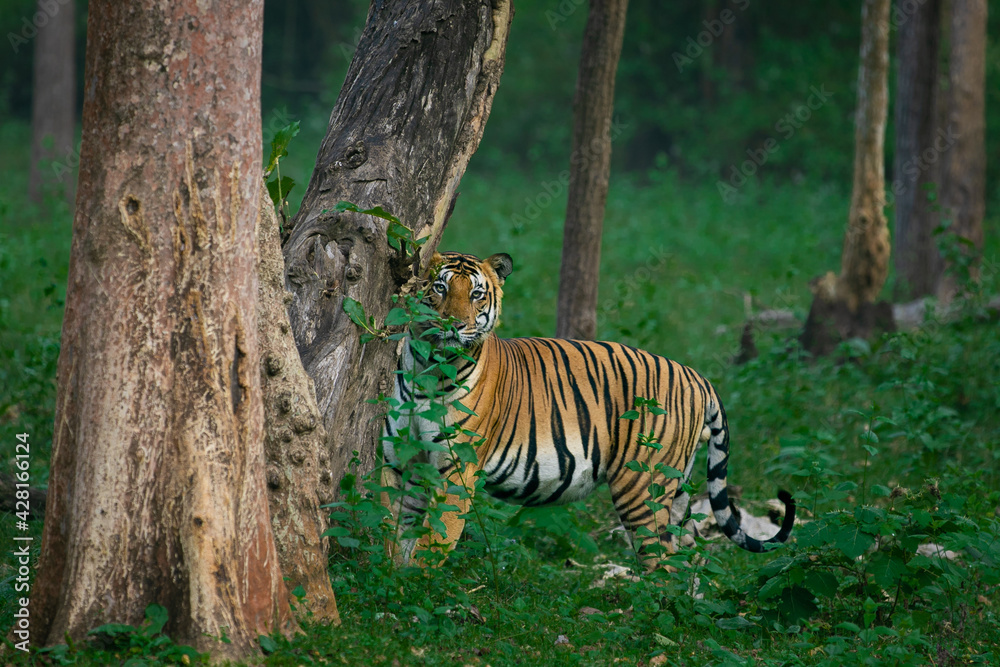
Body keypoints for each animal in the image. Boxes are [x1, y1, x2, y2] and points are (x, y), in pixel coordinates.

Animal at [381, 251, 795, 568]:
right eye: (440, 287)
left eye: (477, 294)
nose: (455, 325)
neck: (426, 367)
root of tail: (697, 376)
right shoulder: (399, 461)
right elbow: (390, 527)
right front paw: (390, 580)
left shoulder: (456, 468)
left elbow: (436, 538)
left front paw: (415, 587)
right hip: (674, 488)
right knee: (690, 557)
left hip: (641, 488)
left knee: (662, 563)